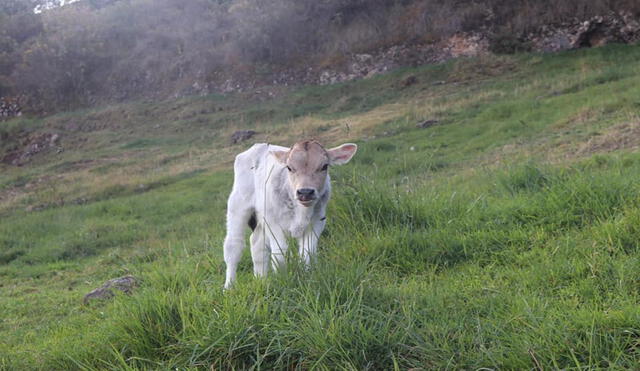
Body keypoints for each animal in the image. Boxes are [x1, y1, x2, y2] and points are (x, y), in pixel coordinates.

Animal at [224, 141, 356, 290]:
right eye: (289, 167)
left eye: (324, 166)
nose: (305, 192)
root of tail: (258, 145)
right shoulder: (273, 224)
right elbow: (280, 253)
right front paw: (282, 280)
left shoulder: (318, 222)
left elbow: (307, 253)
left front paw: (307, 278)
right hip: (238, 204)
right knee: (233, 246)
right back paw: (229, 287)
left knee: (257, 244)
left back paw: (261, 280)